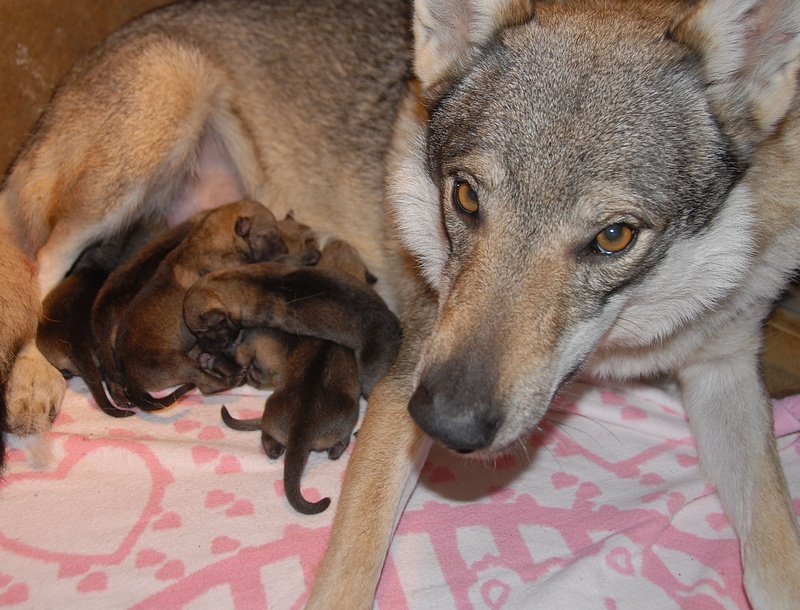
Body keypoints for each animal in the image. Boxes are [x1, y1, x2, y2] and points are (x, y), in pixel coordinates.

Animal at [207, 239, 398, 514]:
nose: (335, 240)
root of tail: (301, 428)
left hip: (272, 410)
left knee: (268, 437)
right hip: (347, 416)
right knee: (337, 445)